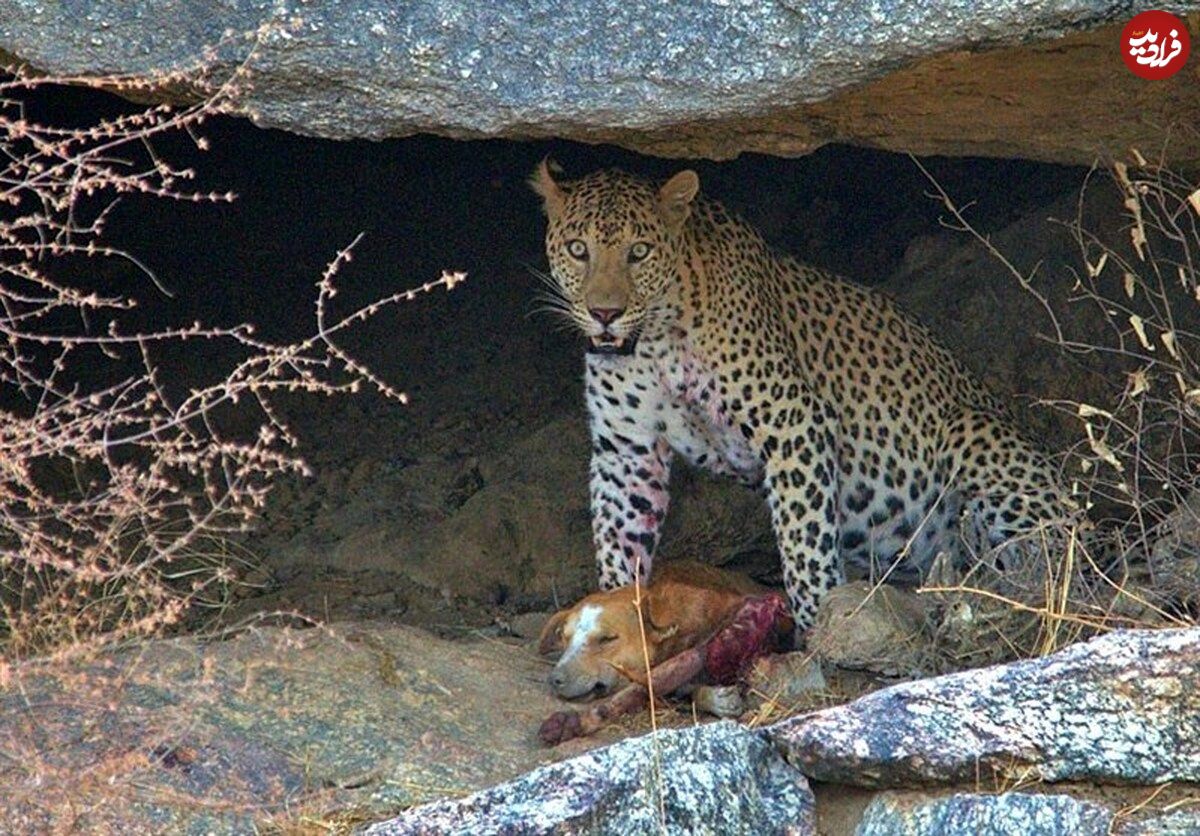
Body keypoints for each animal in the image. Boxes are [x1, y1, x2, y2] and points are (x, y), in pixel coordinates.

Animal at [530, 163, 1075, 628]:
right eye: (578, 249)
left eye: (639, 252)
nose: (604, 313)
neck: (655, 344)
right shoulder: (627, 451)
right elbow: (617, 541)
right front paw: (615, 620)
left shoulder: (793, 423)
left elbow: (803, 542)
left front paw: (817, 631)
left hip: (974, 434)